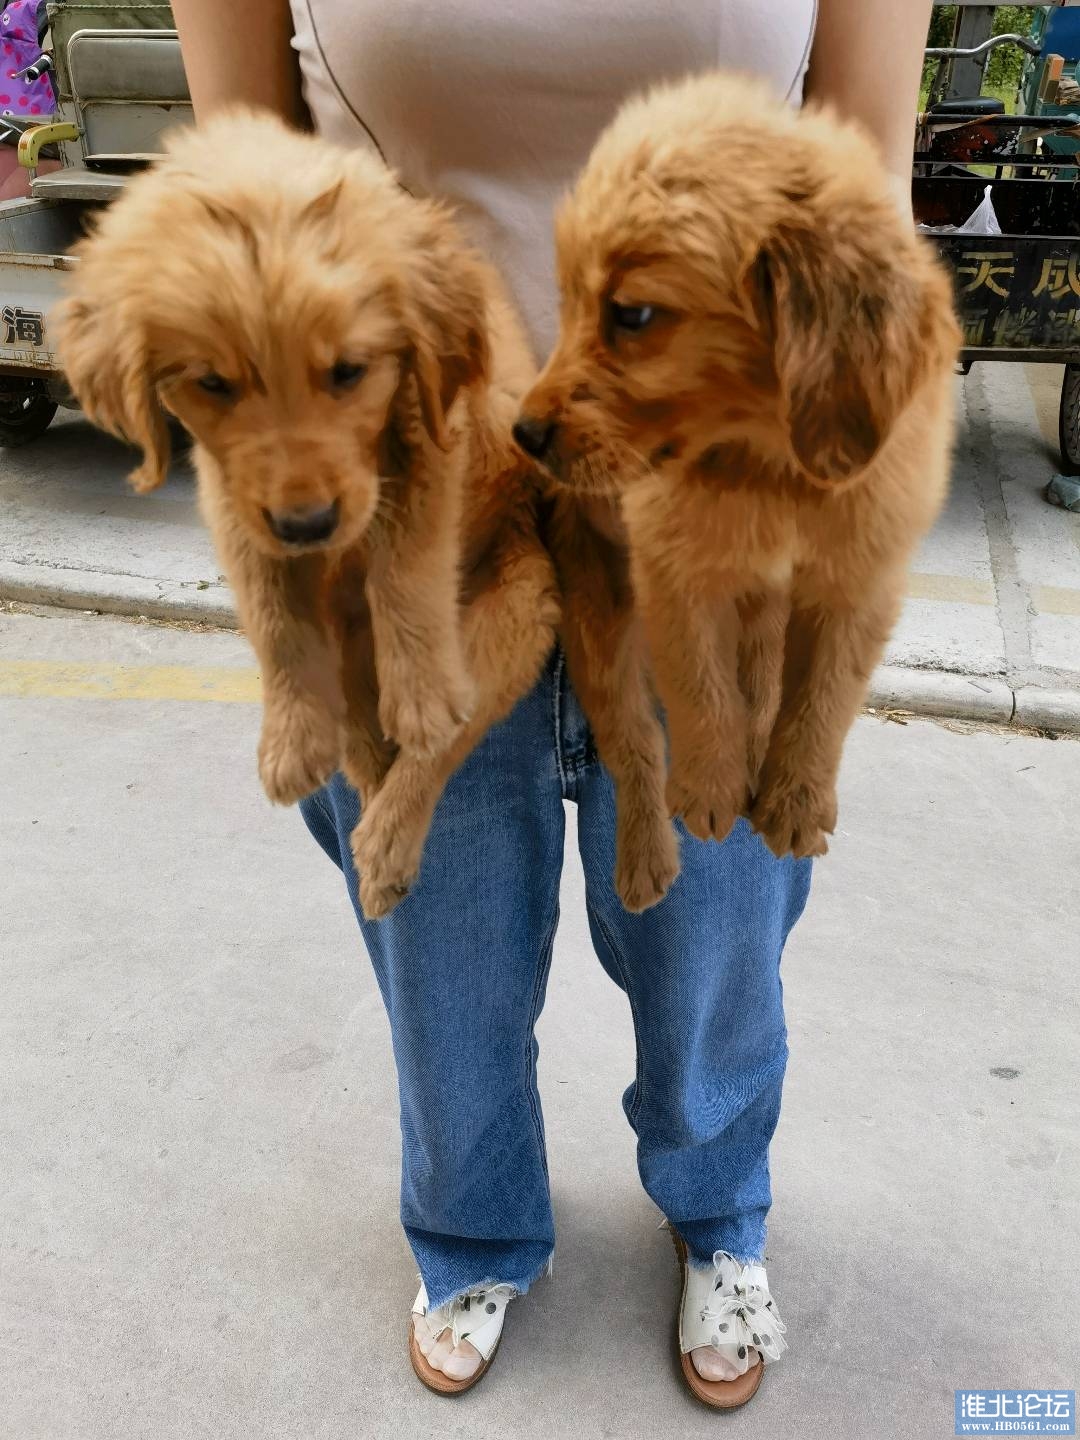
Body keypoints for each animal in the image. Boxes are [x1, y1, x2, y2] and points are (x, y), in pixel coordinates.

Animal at [57, 111, 559, 918]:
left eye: (349, 371)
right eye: (211, 382)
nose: (308, 526)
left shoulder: (433, 433)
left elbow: (407, 567)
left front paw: (420, 697)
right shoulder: (230, 495)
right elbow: (271, 611)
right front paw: (291, 740)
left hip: (521, 607)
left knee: (442, 746)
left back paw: (386, 844)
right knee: (358, 720)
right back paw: (356, 768)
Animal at [516, 71, 960, 874]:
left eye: (632, 315)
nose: (523, 434)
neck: (772, 467)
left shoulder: (860, 582)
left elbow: (821, 701)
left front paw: (795, 802)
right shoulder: (673, 573)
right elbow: (701, 689)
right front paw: (709, 792)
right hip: (600, 624)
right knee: (633, 741)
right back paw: (647, 868)